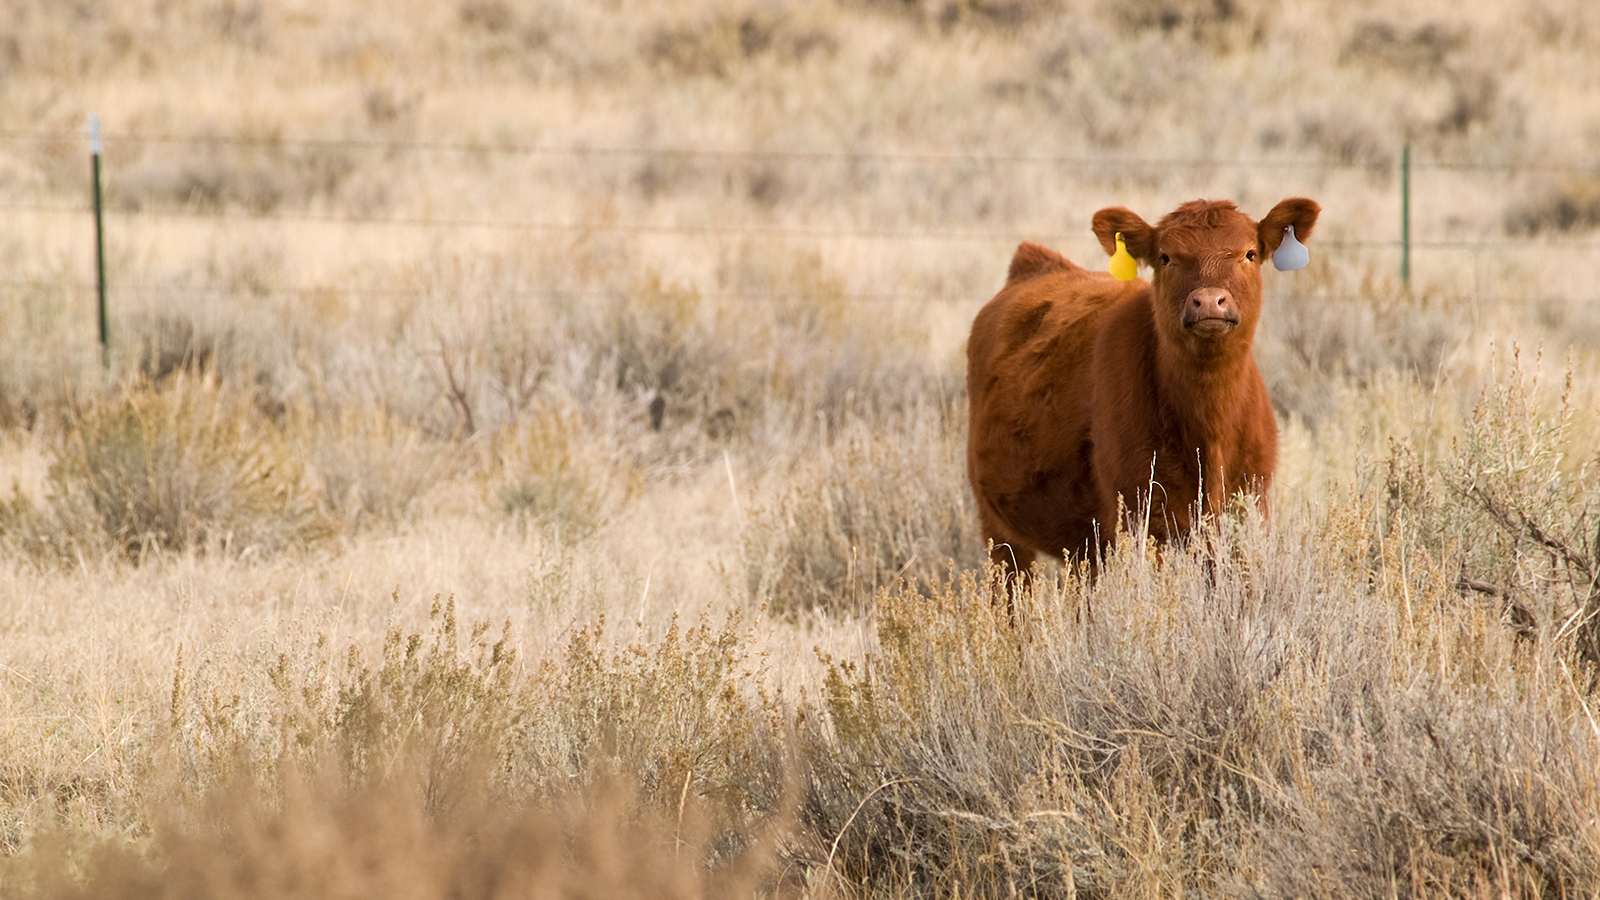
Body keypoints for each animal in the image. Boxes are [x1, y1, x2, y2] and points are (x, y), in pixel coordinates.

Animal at [965, 197, 1320, 573]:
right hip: (998, 531)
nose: (1210, 301)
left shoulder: (1248, 512)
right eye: (1166, 257)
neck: (1210, 430)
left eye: (1249, 253)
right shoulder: (1142, 520)